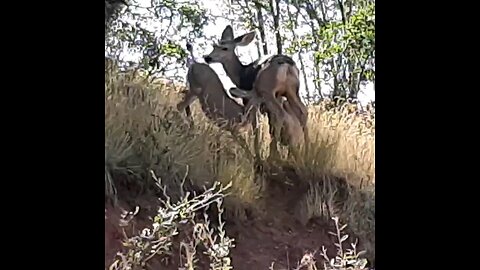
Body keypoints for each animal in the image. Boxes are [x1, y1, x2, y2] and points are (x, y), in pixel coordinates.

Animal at [202, 25, 308, 158]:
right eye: (214, 46)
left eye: (224, 48)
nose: (207, 57)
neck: (241, 74)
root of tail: (287, 64)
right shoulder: (275, 98)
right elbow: (269, 125)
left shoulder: (250, 98)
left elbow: (256, 125)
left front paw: (258, 153)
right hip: (292, 91)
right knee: (303, 112)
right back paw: (308, 150)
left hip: (267, 89)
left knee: (280, 114)